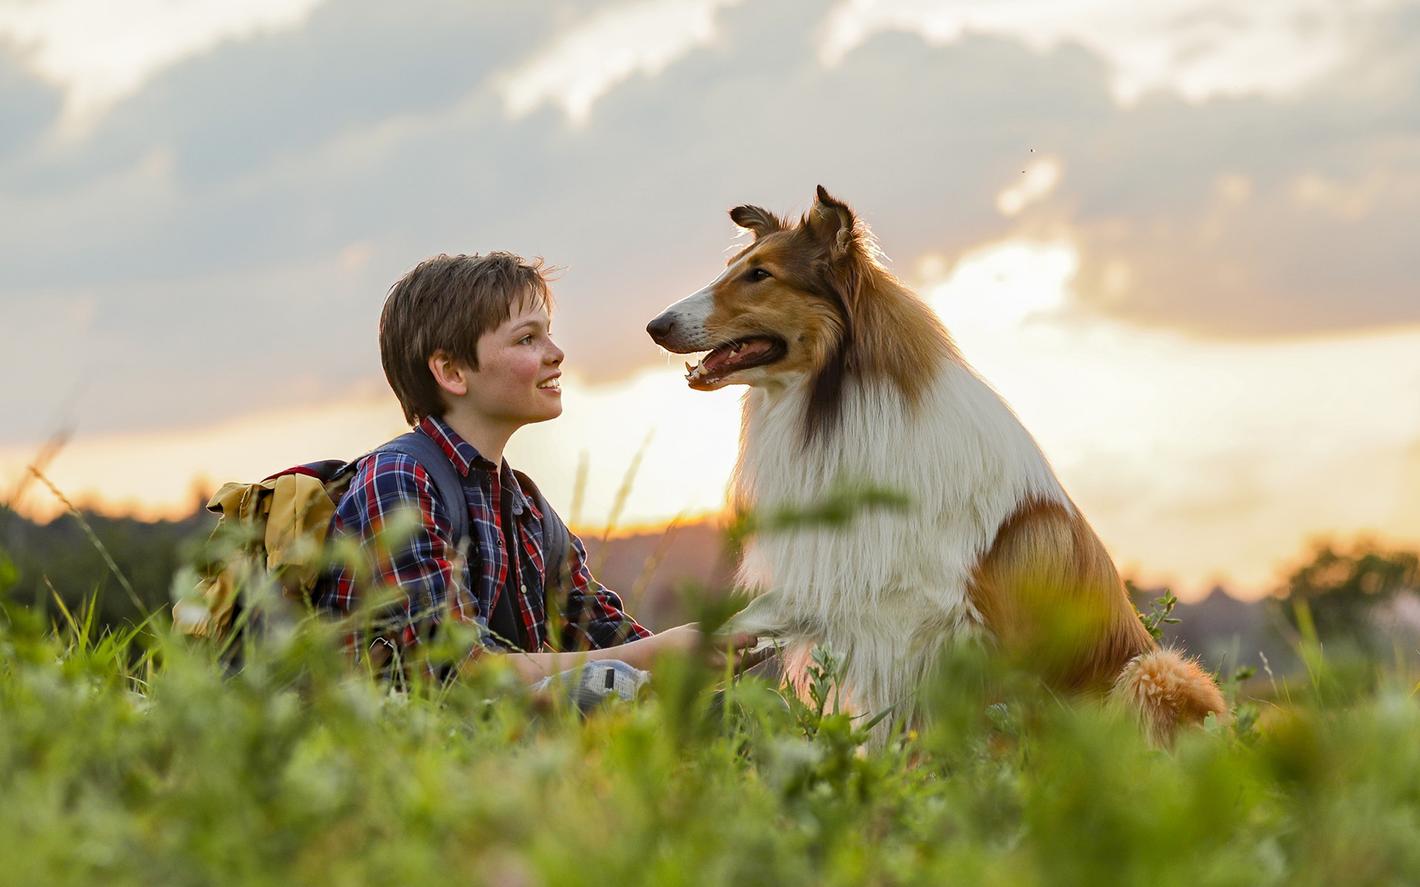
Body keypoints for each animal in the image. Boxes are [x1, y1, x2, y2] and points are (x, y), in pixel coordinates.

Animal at [650, 188, 1226, 749]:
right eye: (733, 267)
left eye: (760, 275)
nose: (655, 326)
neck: (837, 402)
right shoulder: (842, 586)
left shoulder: (934, 625)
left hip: (1156, 671)